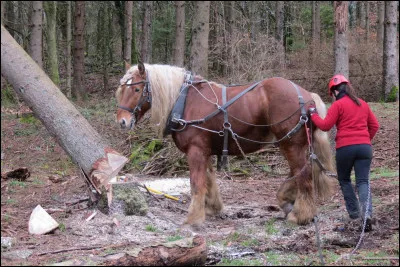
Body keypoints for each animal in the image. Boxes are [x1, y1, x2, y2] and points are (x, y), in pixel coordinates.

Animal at [115, 63, 334, 228]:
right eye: (121, 89)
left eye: (136, 89)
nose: (122, 122)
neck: (184, 100)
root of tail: (308, 96)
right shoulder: (205, 151)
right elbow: (209, 179)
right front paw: (213, 207)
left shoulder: (196, 150)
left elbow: (196, 183)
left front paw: (193, 218)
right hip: (291, 144)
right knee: (298, 173)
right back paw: (286, 200)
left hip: (291, 143)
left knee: (304, 175)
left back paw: (301, 215)